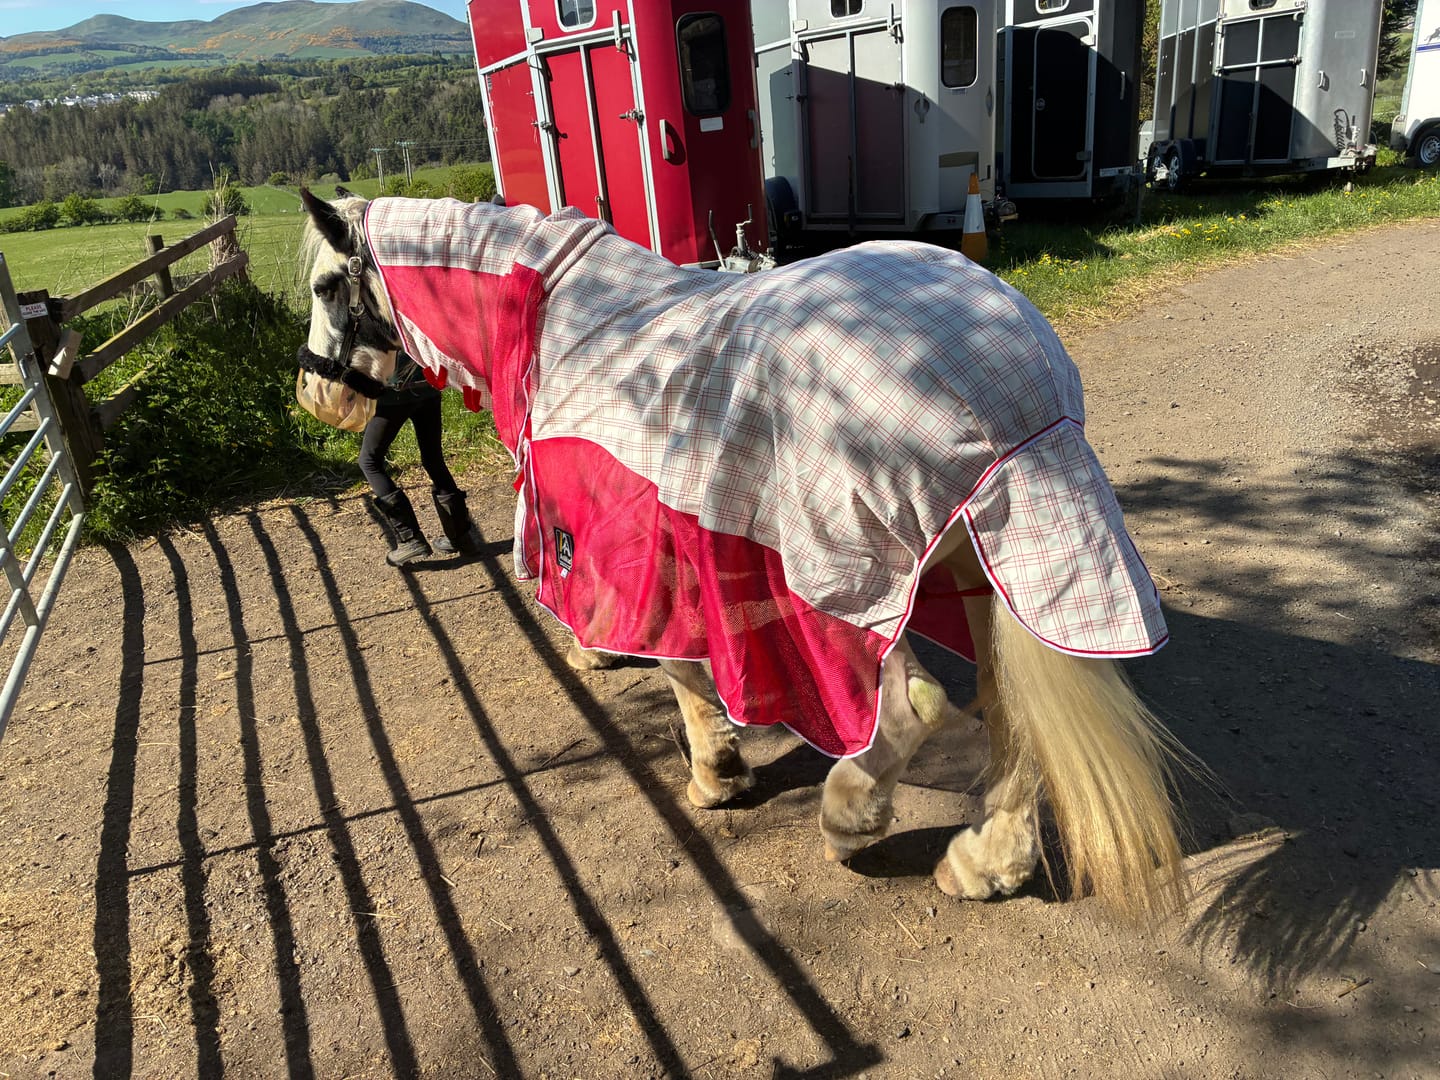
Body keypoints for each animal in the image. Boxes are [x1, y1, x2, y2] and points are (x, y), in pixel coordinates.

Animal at [295, 187, 1191, 920]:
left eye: (327, 286)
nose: (316, 395)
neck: (565, 320)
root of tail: (1011, 382)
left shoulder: (643, 532)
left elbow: (681, 666)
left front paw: (715, 773)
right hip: (996, 566)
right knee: (1011, 708)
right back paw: (984, 864)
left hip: (841, 583)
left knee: (912, 705)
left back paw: (851, 818)